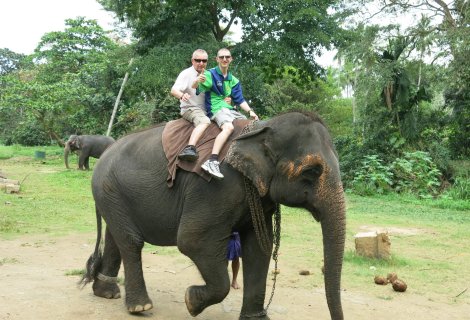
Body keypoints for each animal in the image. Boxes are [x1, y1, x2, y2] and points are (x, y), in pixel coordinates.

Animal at [80, 110, 346, 320]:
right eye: (312, 171)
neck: (261, 129)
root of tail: (106, 152)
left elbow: (259, 247)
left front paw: (256, 319)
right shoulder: (213, 188)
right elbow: (193, 241)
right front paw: (191, 301)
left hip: (112, 194)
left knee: (116, 237)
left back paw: (107, 293)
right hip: (108, 188)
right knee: (131, 241)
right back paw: (140, 307)